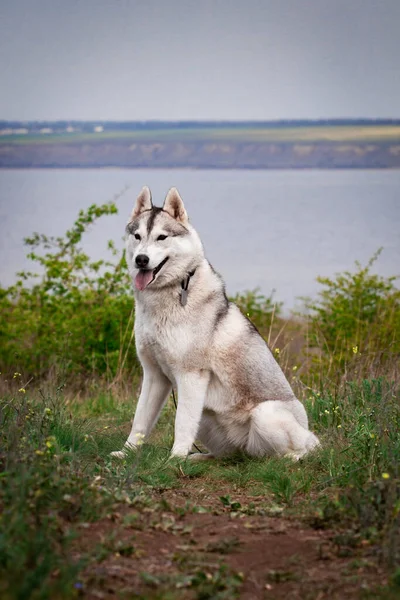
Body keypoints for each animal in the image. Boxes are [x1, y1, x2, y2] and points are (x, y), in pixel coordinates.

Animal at [111, 188, 320, 460]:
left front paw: (174, 459)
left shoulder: (191, 376)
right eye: (137, 236)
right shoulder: (155, 375)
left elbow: (181, 423)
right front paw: (126, 453)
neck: (169, 294)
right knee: (229, 454)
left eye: (161, 237)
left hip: (266, 414)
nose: (141, 259)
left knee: (295, 449)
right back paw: (202, 457)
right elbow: (140, 420)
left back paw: (291, 457)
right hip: (208, 422)